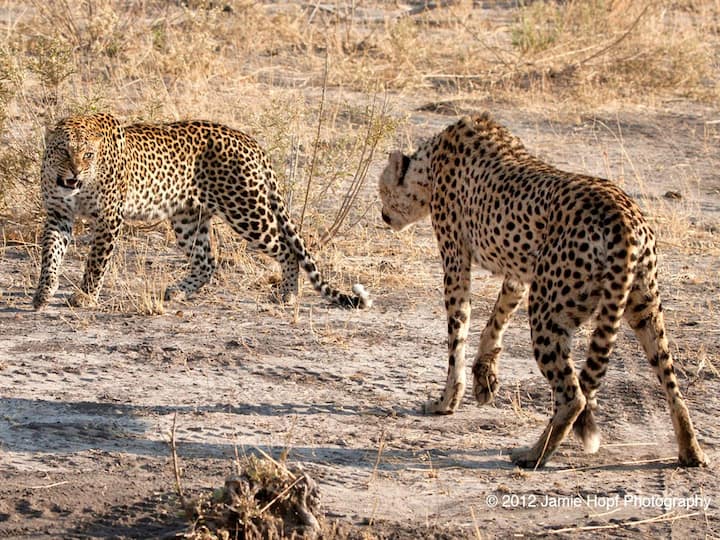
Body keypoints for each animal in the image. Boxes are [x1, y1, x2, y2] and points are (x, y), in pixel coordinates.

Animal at [32, 113, 372, 312]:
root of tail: (249, 140)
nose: (75, 172)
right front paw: (43, 293)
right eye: (64, 151)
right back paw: (178, 292)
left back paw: (288, 294)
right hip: (188, 218)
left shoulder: (108, 218)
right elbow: (50, 255)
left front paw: (84, 297)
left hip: (247, 210)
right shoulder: (58, 215)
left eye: (88, 155)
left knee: (287, 249)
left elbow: (96, 262)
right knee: (208, 260)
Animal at [380, 113, 704, 468]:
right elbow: (495, 321)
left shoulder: (456, 260)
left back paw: (533, 454)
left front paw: (446, 400)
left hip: (549, 312)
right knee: (670, 383)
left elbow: (458, 333)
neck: (429, 162)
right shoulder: (520, 276)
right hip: (642, 306)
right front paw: (485, 377)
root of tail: (622, 215)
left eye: (382, 190)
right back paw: (691, 451)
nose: (383, 215)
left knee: (573, 396)